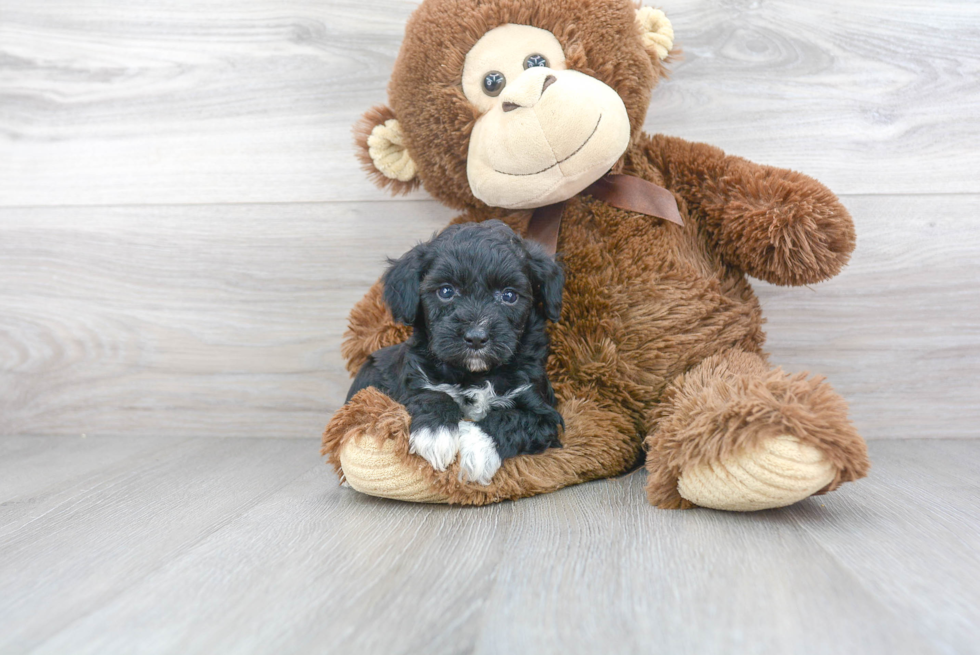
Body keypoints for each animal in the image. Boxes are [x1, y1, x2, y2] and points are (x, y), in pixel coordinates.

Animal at [350, 223, 568, 484]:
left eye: (509, 295)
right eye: (446, 291)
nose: (476, 337)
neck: (475, 374)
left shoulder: (543, 412)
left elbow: (511, 418)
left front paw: (475, 448)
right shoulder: (415, 379)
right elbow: (430, 394)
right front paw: (435, 434)